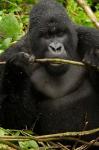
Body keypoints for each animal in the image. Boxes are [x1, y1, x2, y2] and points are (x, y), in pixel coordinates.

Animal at [0, 0, 99, 139]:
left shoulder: (92, 38)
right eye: (47, 36)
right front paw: (17, 70)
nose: (56, 48)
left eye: (60, 34)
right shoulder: (8, 57)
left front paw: (96, 58)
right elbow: (15, 125)